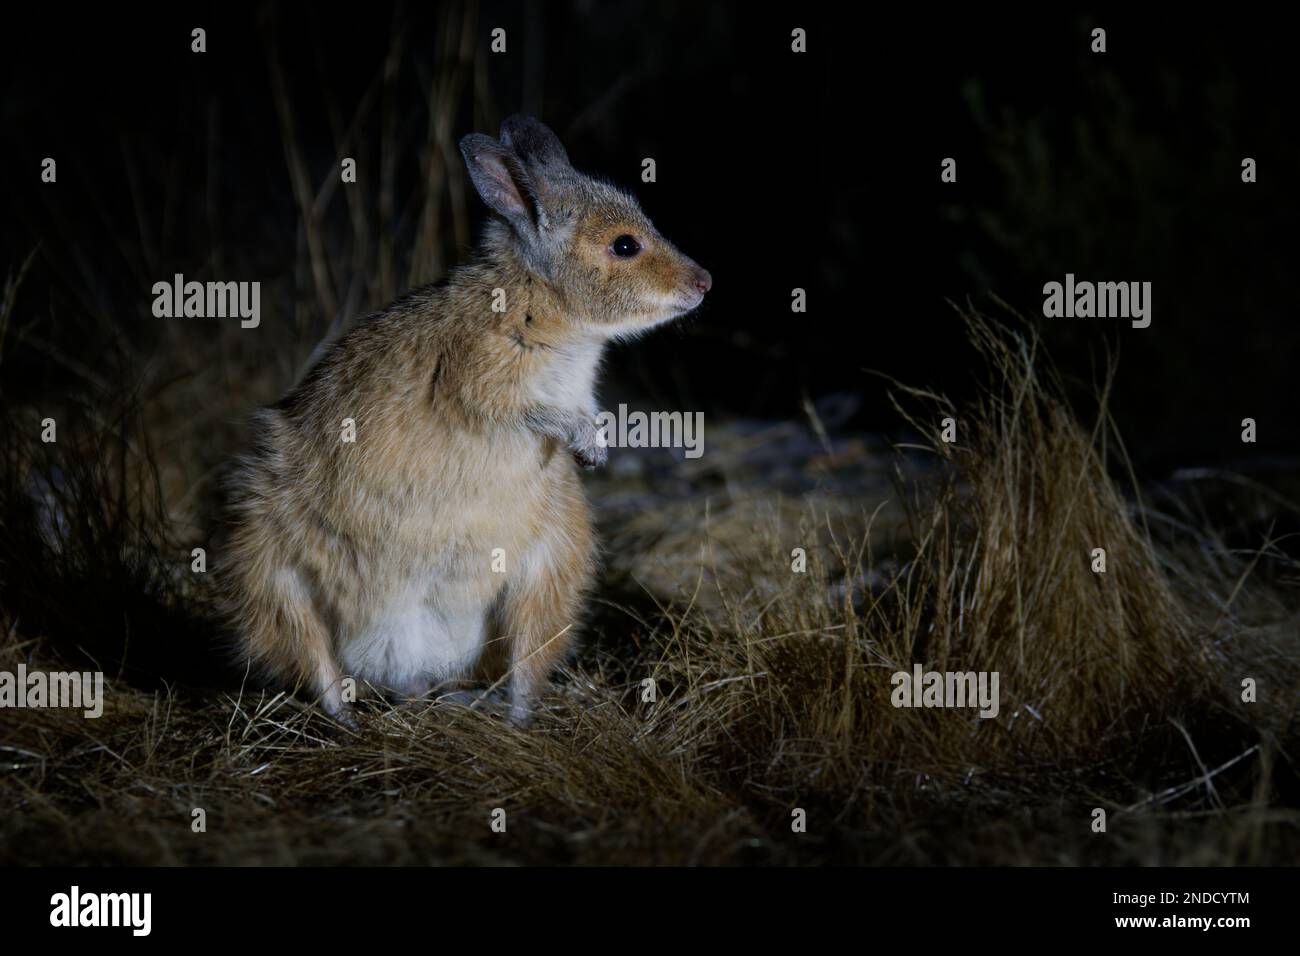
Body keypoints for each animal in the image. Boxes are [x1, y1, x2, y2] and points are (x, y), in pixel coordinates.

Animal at [218, 115, 712, 727]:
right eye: (625, 245)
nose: (705, 282)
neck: (552, 311)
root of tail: (411, 665)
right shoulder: (481, 382)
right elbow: (527, 410)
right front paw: (587, 445)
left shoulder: (577, 392)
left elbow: (583, 412)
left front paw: (594, 447)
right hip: (268, 568)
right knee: (315, 662)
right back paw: (347, 720)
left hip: (552, 566)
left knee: (523, 668)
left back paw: (486, 709)